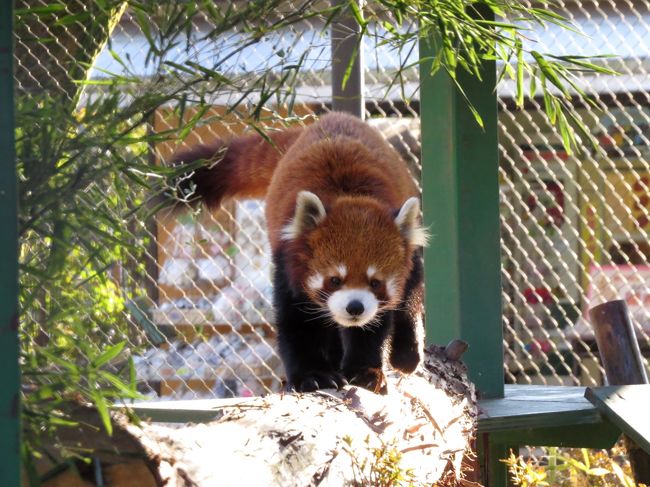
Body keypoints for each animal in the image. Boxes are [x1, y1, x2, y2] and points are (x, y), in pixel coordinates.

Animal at [172, 112, 426, 394]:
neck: (349, 196)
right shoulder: (288, 263)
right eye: (334, 280)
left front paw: (365, 372)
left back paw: (406, 354)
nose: (355, 307)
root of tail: (333, 117)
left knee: (411, 291)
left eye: (375, 282)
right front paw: (313, 375)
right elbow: (297, 323)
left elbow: (372, 326)